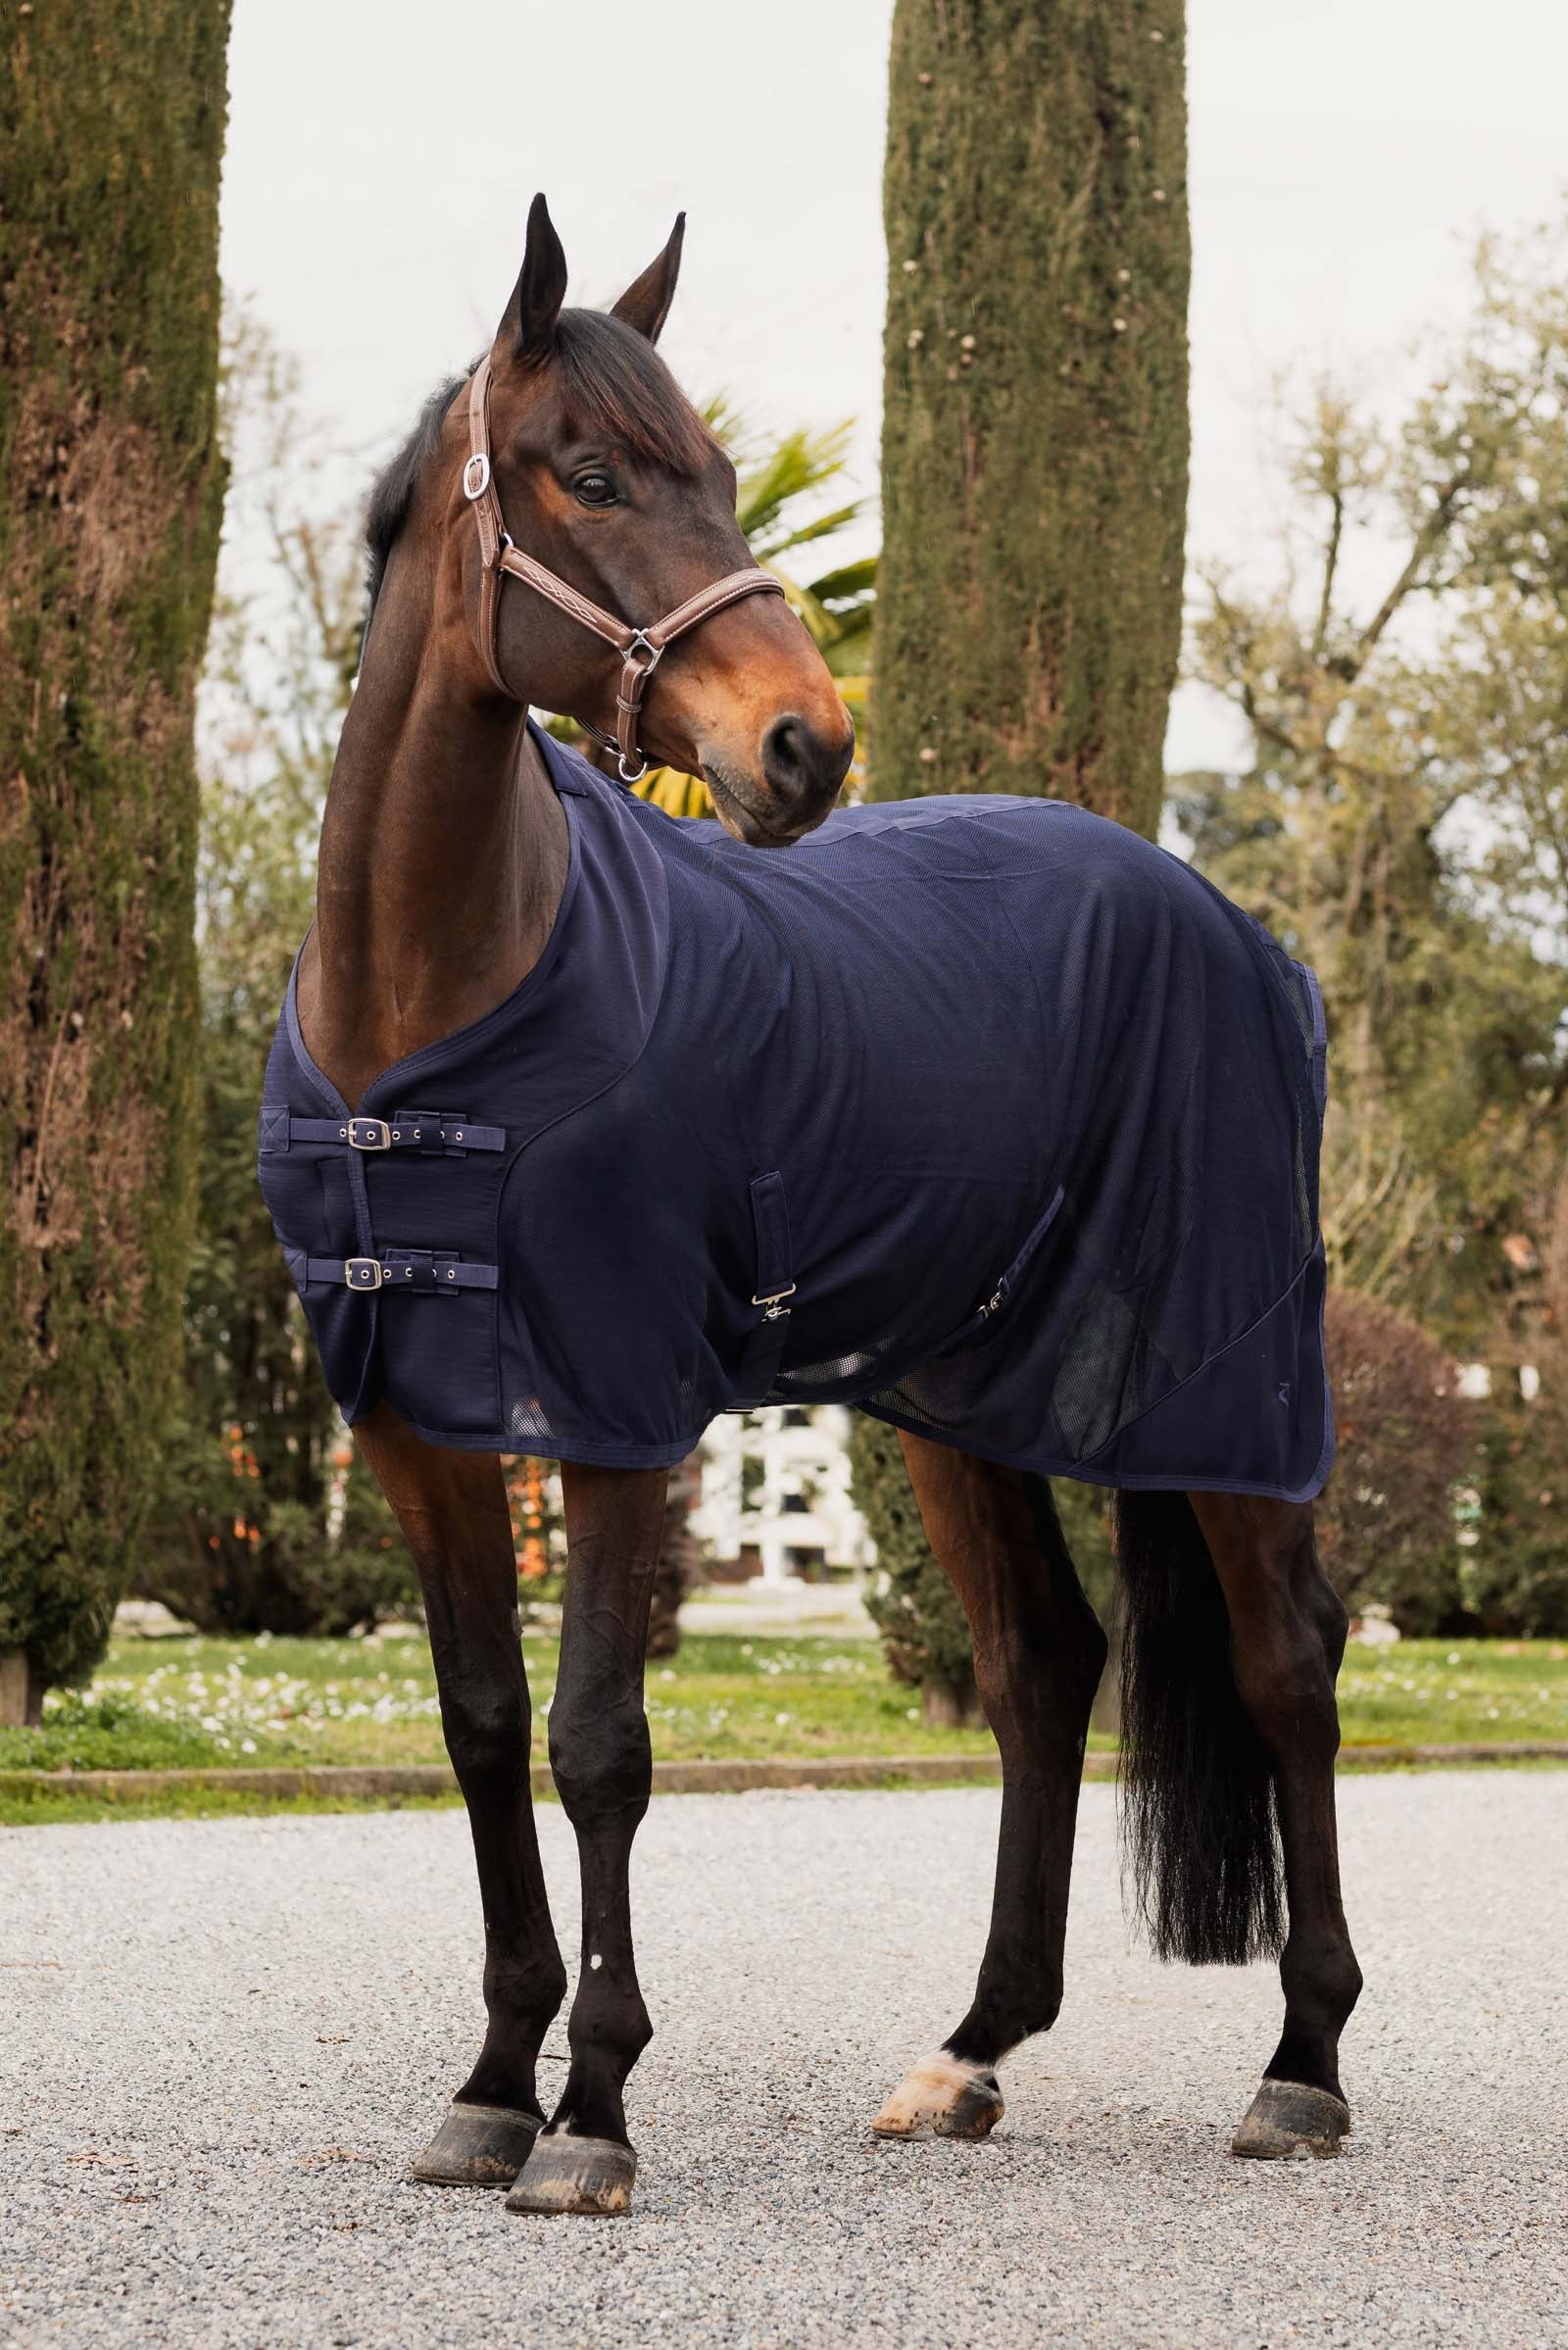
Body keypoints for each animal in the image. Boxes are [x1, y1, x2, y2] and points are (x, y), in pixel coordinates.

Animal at [262, 195, 1361, 2219]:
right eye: (593, 471)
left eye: (714, 465)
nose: (803, 747)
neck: (443, 1008)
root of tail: (1232, 927)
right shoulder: (416, 1429)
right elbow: (480, 1730)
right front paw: (489, 2086)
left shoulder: (614, 1412)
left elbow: (599, 1742)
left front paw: (592, 2114)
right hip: (965, 1400)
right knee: (1044, 1667)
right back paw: (973, 2049)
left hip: (1225, 1395)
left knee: (1288, 1666)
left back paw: (1303, 2065)